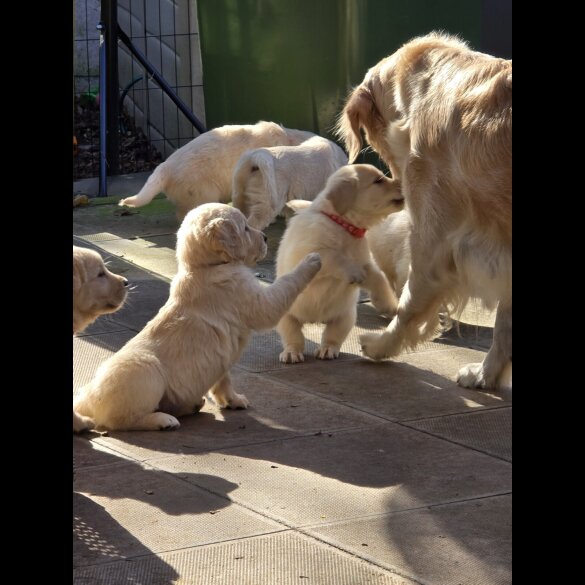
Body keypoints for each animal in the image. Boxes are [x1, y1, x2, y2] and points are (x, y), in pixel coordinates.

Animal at [276, 164, 404, 362]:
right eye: (378, 181)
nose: (404, 183)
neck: (344, 226)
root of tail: (315, 319)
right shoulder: (309, 253)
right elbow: (334, 256)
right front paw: (354, 273)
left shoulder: (365, 262)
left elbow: (379, 278)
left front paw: (388, 304)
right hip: (286, 316)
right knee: (294, 336)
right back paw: (292, 353)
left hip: (345, 317)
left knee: (331, 336)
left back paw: (327, 350)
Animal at [336, 30, 508, 388]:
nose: (395, 184)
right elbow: (504, 326)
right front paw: (486, 375)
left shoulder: (434, 239)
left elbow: (410, 302)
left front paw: (382, 345)